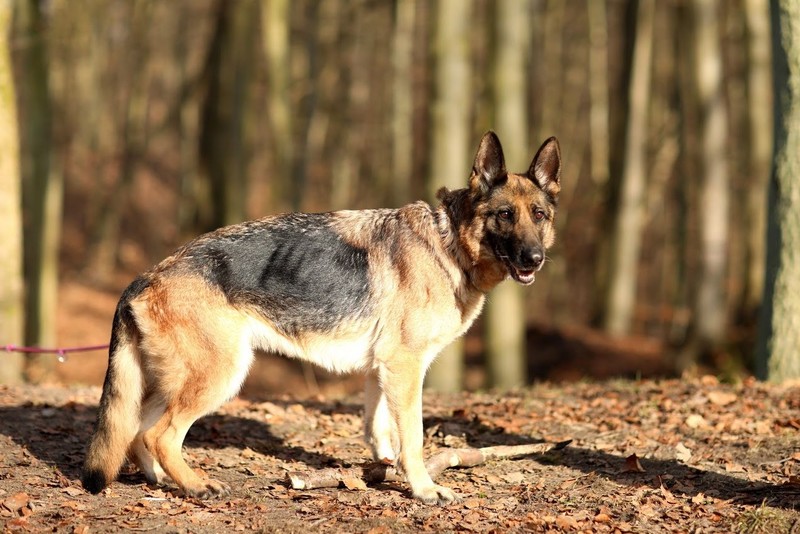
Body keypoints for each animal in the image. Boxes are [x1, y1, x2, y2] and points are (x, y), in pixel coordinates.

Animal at [83, 131, 564, 506]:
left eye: (539, 215)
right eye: (504, 215)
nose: (535, 260)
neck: (448, 244)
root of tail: (147, 275)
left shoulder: (382, 371)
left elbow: (378, 430)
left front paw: (384, 470)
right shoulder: (406, 369)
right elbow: (413, 435)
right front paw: (424, 489)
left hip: (176, 382)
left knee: (138, 432)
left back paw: (162, 481)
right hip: (220, 377)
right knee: (160, 435)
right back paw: (197, 486)